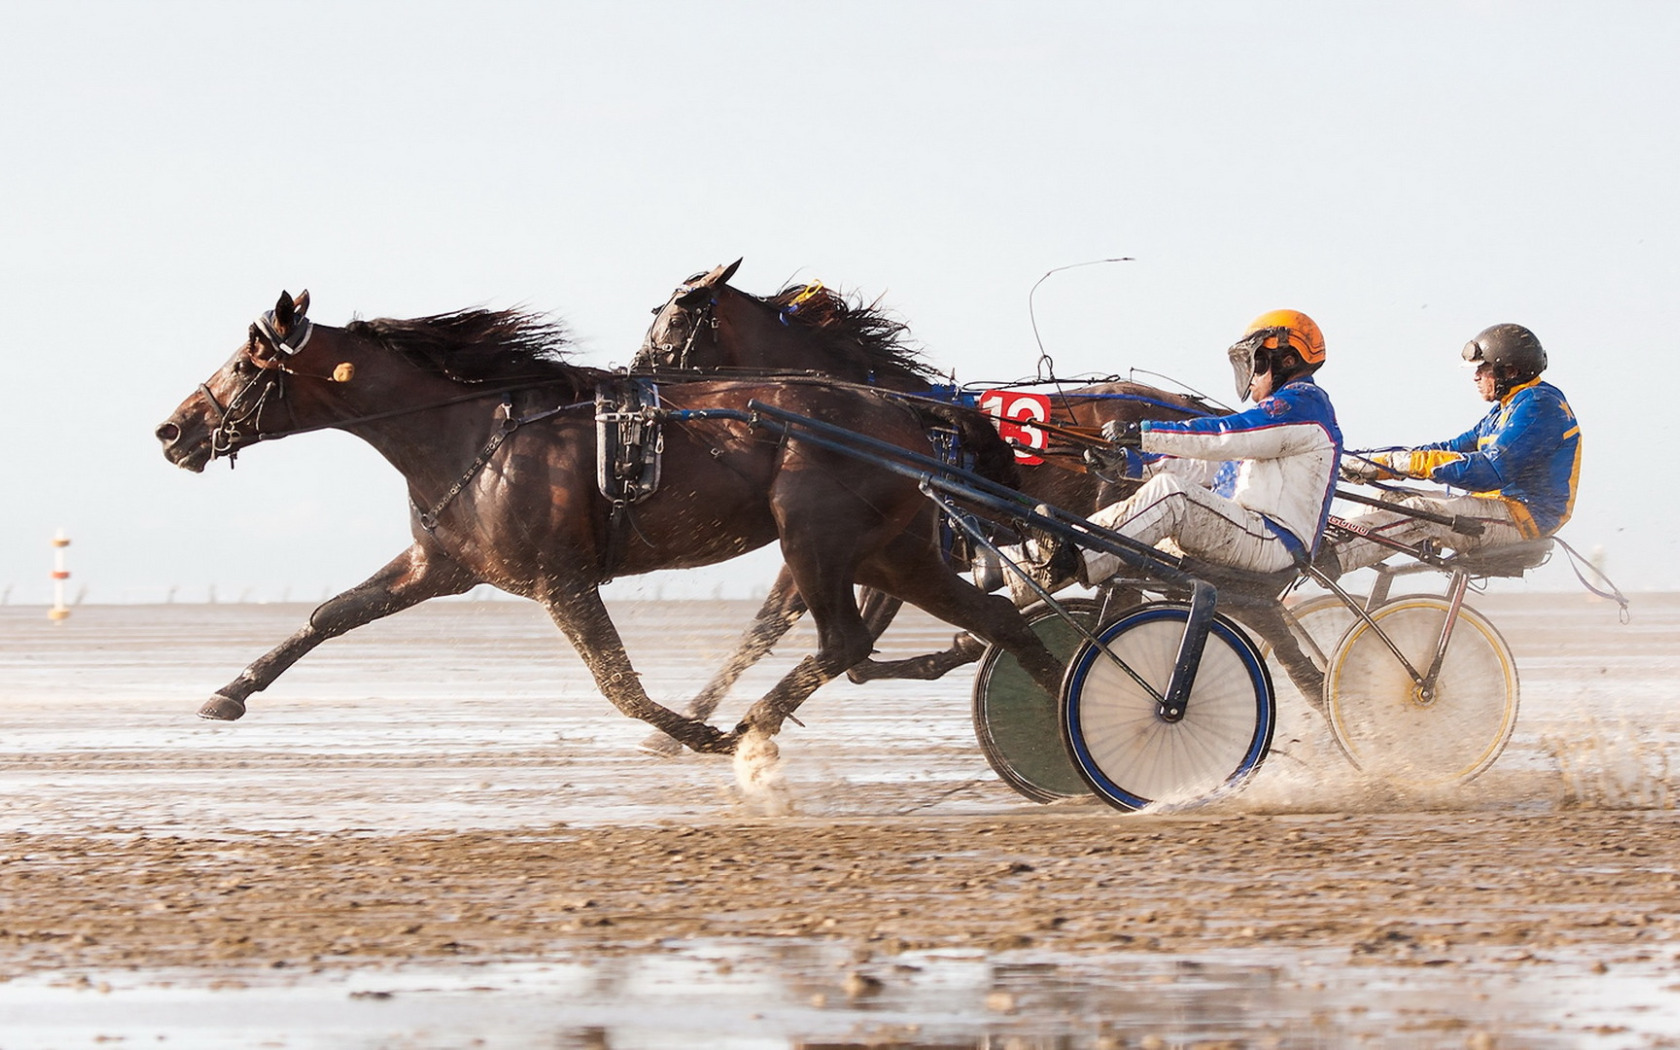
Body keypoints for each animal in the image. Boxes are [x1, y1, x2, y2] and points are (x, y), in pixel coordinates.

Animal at [154, 290, 1061, 749]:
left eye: (246, 364)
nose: (171, 430)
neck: (470, 425)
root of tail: (902, 408)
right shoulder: (443, 565)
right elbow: (329, 615)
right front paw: (229, 693)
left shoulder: (560, 579)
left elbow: (616, 681)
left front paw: (691, 733)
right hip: (893, 549)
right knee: (994, 623)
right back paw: (1067, 705)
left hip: (816, 535)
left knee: (845, 642)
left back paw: (749, 729)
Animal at [631, 262, 1223, 745]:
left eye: (673, 321)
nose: (637, 369)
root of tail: (1188, 411)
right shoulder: (883, 548)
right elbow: (823, 645)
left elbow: (774, 631)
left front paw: (676, 733)